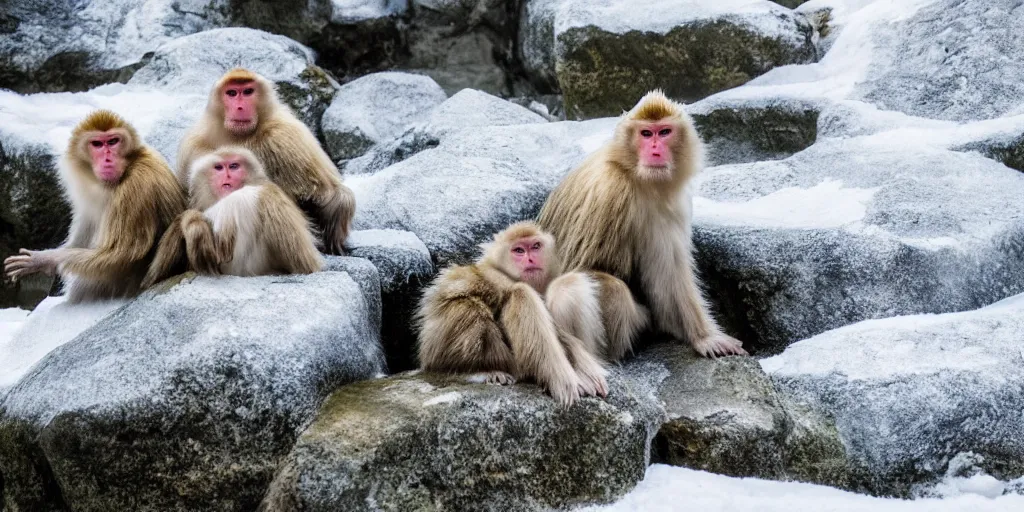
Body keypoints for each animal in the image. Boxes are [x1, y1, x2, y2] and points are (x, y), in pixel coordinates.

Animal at [4, 108, 186, 299]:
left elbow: (122, 255)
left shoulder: (137, 187)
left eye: (113, 141)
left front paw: (45, 259)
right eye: (97, 144)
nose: (108, 158)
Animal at [174, 68, 354, 256]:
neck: (238, 137)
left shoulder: (285, 135)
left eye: (247, 92)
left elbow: (328, 194)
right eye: (231, 93)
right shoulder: (194, 147)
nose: (239, 107)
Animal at [417, 222, 643, 405]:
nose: (530, 259)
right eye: (518, 250)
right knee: (514, 297)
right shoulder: (496, 276)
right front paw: (575, 376)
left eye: (535, 246)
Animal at [536, 90, 745, 358]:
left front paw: (704, 338)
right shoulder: (610, 190)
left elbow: (669, 274)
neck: (633, 173)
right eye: (646, 134)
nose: (655, 148)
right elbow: (580, 268)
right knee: (573, 287)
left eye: (664, 132)